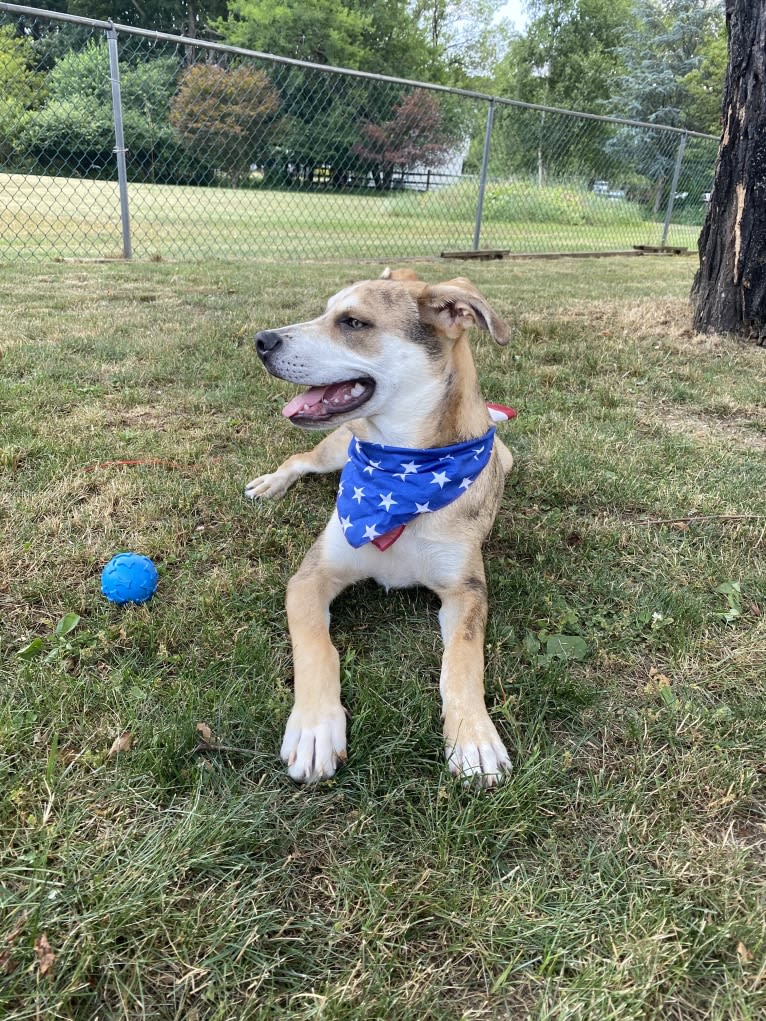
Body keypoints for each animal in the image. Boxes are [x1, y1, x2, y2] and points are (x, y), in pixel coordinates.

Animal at [247, 267, 516, 784]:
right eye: (326, 311)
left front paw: (473, 738)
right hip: (334, 449)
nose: (261, 340)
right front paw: (315, 729)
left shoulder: (466, 591)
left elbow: (463, 660)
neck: (403, 469)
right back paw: (271, 483)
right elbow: (317, 648)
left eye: (353, 322)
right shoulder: (311, 576)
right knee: (300, 458)